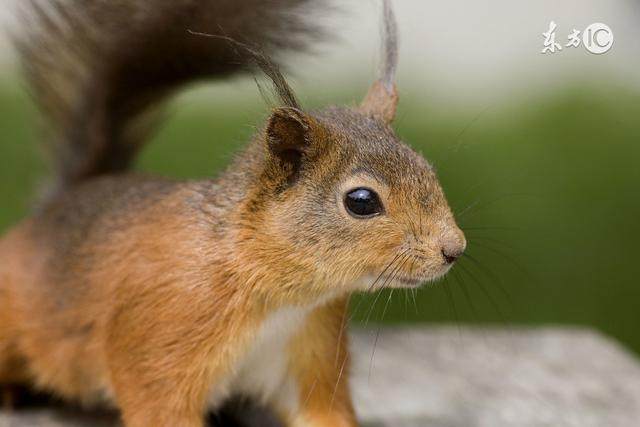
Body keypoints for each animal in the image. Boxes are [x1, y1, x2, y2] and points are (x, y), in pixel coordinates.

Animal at [0, 0, 464, 427]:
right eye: (362, 201)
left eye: (426, 167)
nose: (454, 249)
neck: (282, 297)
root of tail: (57, 205)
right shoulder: (161, 343)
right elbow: (160, 407)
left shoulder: (308, 354)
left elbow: (322, 413)